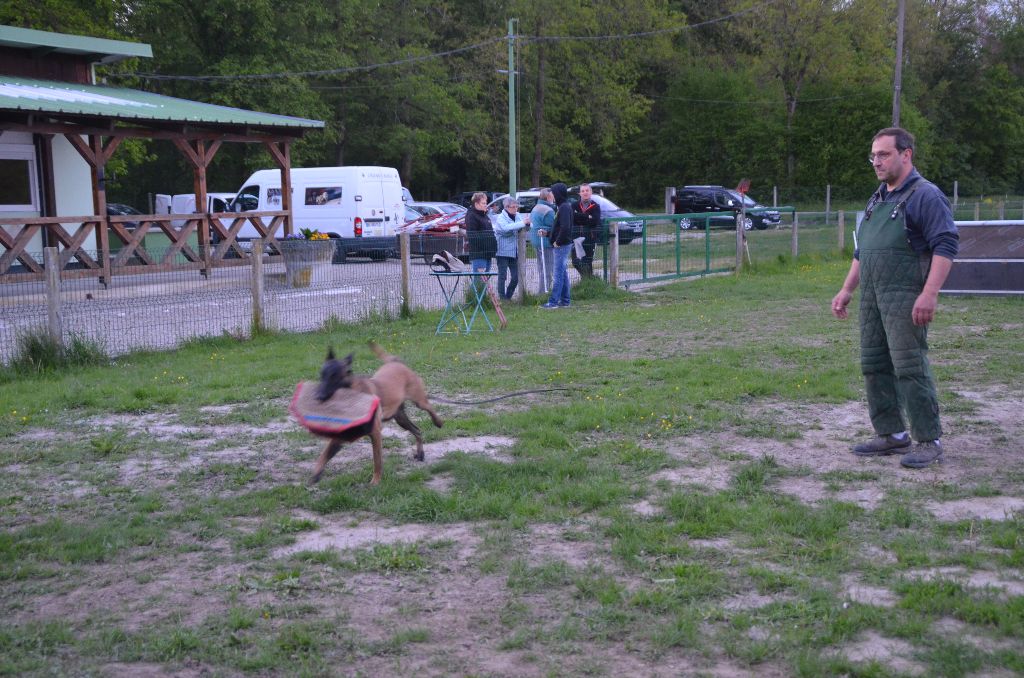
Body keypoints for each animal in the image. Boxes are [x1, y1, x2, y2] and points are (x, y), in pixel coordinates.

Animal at [307, 342, 444, 485]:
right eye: (322, 375)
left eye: (334, 376)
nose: (318, 397)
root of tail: (396, 362)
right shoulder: (341, 435)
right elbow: (324, 455)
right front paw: (316, 474)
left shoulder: (375, 433)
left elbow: (377, 461)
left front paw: (376, 481)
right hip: (400, 418)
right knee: (417, 430)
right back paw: (420, 453)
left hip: (418, 401)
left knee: (429, 407)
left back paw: (438, 422)